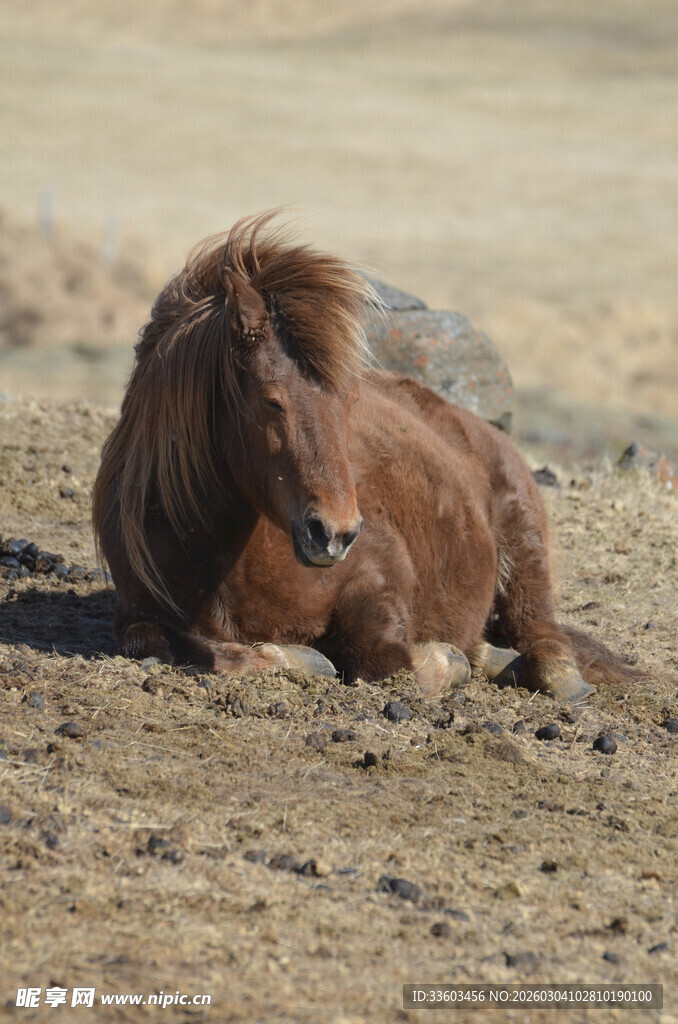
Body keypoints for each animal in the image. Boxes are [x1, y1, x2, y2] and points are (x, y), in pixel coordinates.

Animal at [93, 213, 637, 702]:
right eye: (272, 400)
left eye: (349, 400)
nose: (334, 533)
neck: (223, 559)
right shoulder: (137, 613)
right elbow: (164, 643)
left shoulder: (379, 578)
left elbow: (387, 663)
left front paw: (444, 660)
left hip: (523, 546)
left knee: (543, 635)